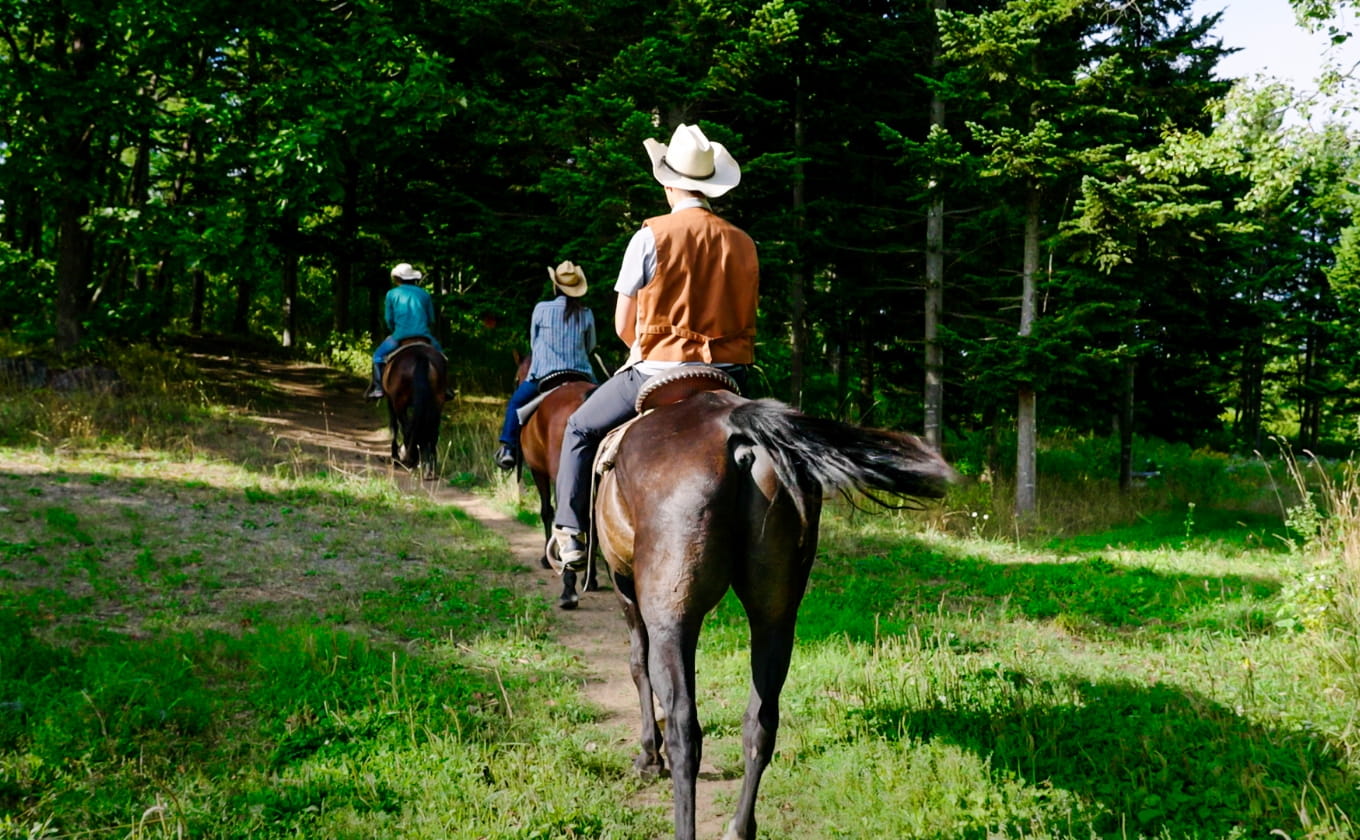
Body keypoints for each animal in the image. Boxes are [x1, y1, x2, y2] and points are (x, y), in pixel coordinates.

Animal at [380, 335, 448, 478]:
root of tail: (421, 357)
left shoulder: (391, 401)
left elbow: (395, 428)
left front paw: (395, 456)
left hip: (399, 403)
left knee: (406, 428)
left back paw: (408, 459)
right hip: (437, 402)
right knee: (431, 430)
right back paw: (429, 467)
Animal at [511, 350, 601, 606]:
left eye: (516, 379)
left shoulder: (538, 471)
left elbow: (546, 511)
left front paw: (545, 558)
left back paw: (568, 589)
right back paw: (589, 579)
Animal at [590, 375, 952, 837]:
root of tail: (736, 431)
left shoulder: (625, 588)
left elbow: (638, 666)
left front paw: (646, 758)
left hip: (673, 618)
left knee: (685, 730)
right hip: (775, 618)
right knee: (761, 723)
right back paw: (740, 826)